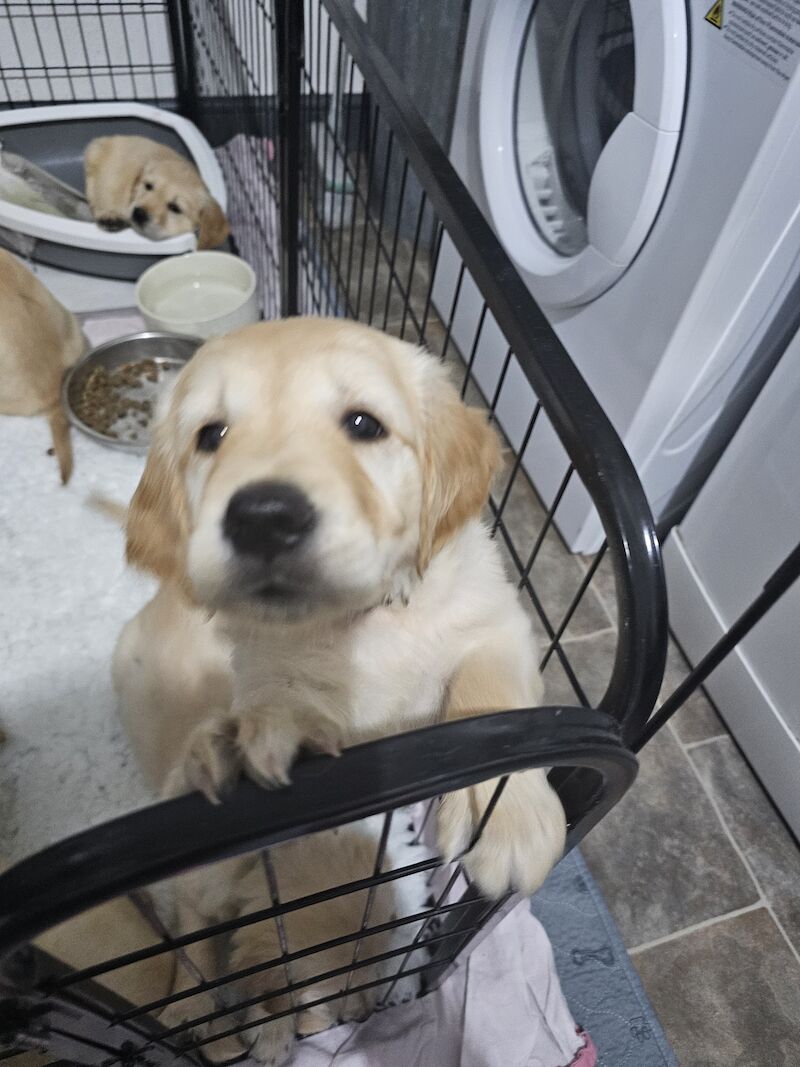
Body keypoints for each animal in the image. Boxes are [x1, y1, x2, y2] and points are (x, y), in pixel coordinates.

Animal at [113, 320, 567, 1062]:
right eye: (211, 435)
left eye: (363, 424)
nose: (264, 516)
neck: (364, 621)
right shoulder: (269, 676)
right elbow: (274, 713)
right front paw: (238, 745)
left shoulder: (498, 622)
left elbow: (491, 697)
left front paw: (508, 816)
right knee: (197, 942)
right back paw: (208, 1016)